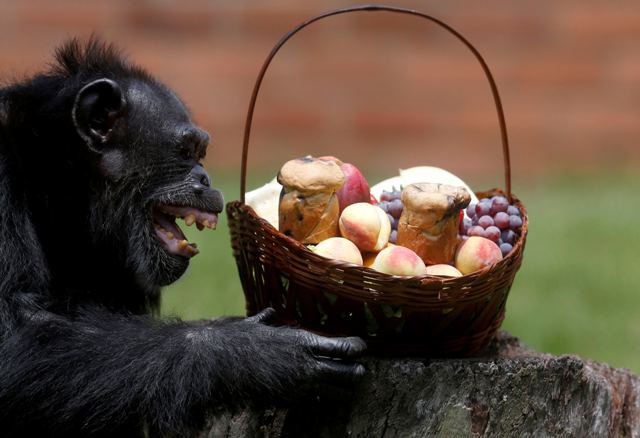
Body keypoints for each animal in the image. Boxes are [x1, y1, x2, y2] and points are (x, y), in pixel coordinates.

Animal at [0, 38, 364, 438]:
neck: (59, 182)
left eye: (200, 153)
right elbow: (17, 337)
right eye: (186, 150)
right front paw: (250, 349)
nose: (205, 177)